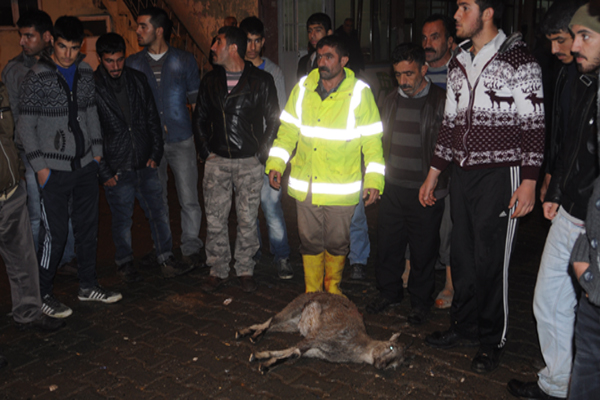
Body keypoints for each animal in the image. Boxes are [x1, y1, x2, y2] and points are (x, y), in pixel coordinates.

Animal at [234, 292, 404, 374]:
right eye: (390, 347)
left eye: (395, 366)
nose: (383, 365)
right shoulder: (319, 336)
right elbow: (294, 352)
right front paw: (265, 365)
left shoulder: (315, 350)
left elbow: (289, 352)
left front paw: (259, 357)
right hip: (295, 307)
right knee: (273, 320)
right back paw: (254, 335)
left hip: (294, 323)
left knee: (272, 324)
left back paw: (246, 332)